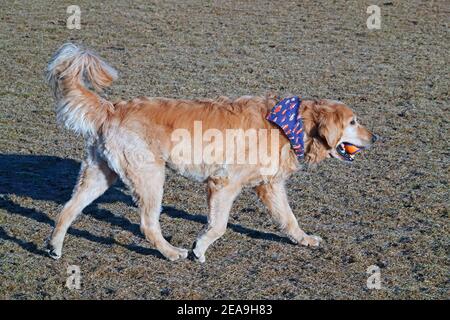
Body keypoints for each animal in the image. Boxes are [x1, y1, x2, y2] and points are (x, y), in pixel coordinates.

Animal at [45, 43, 376, 262]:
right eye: (353, 122)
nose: (375, 137)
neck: (289, 124)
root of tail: (112, 108)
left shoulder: (270, 186)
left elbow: (289, 218)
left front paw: (304, 239)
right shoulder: (223, 184)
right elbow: (218, 226)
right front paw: (198, 249)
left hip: (100, 174)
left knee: (68, 209)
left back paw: (54, 248)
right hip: (150, 177)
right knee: (148, 224)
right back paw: (172, 252)